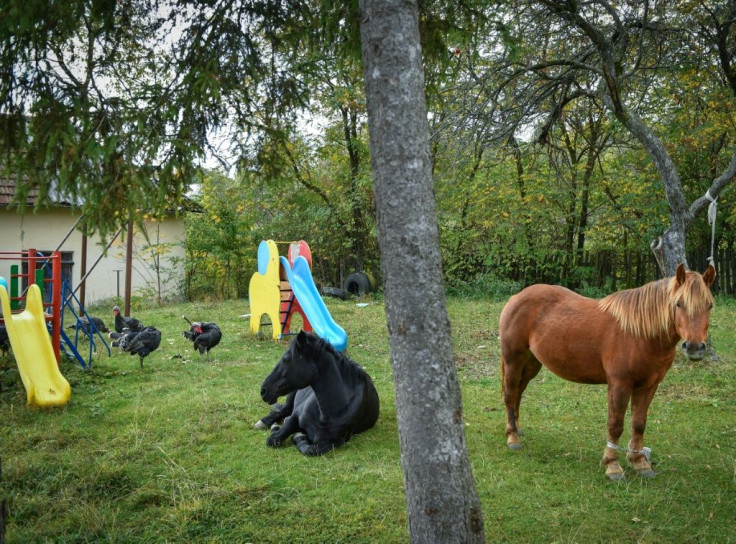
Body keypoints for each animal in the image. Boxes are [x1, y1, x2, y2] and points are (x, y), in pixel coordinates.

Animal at [500, 264, 712, 480]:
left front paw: (640, 462)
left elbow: (639, 423)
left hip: (531, 364)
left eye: (709, 305)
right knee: (510, 395)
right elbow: (615, 425)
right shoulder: (620, 385)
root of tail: (517, 297)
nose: (694, 347)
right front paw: (612, 465)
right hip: (513, 361)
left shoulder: (649, 386)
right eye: (679, 304)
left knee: (519, 393)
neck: (639, 334)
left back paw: (517, 429)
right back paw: (513, 438)